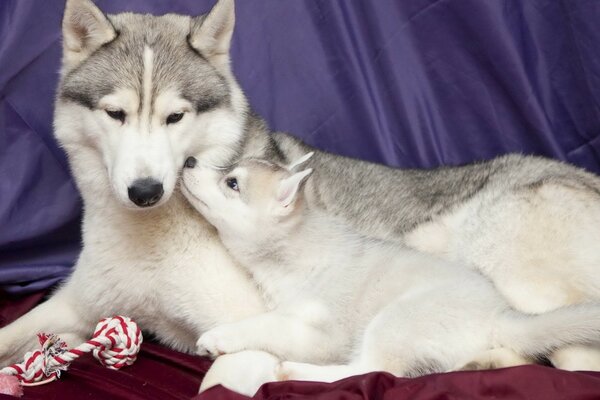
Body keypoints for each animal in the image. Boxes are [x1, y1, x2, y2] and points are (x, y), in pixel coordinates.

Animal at [180, 155, 600, 384]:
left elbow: (266, 326)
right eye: (230, 171)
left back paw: (296, 372)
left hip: (395, 320)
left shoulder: (324, 333)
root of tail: (499, 314)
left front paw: (219, 337)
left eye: (232, 183)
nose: (188, 161)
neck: (293, 250)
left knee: (373, 370)